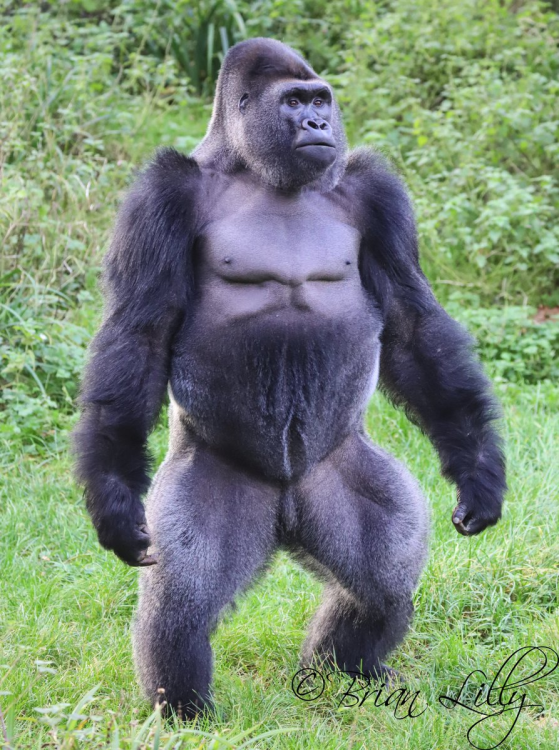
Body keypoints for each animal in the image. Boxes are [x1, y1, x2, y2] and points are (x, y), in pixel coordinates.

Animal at [73, 38, 506, 718]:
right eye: (294, 102)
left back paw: (346, 668)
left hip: (334, 477)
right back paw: (186, 712)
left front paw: (479, 472)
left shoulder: (377, 193)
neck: (257, 169)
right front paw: (113, 498)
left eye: (320, 100)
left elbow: (413, 328)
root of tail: (286, 511)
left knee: (381, 585)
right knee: (181, 605)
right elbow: (138, 332)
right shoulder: (160, 195)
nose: (318, 125)